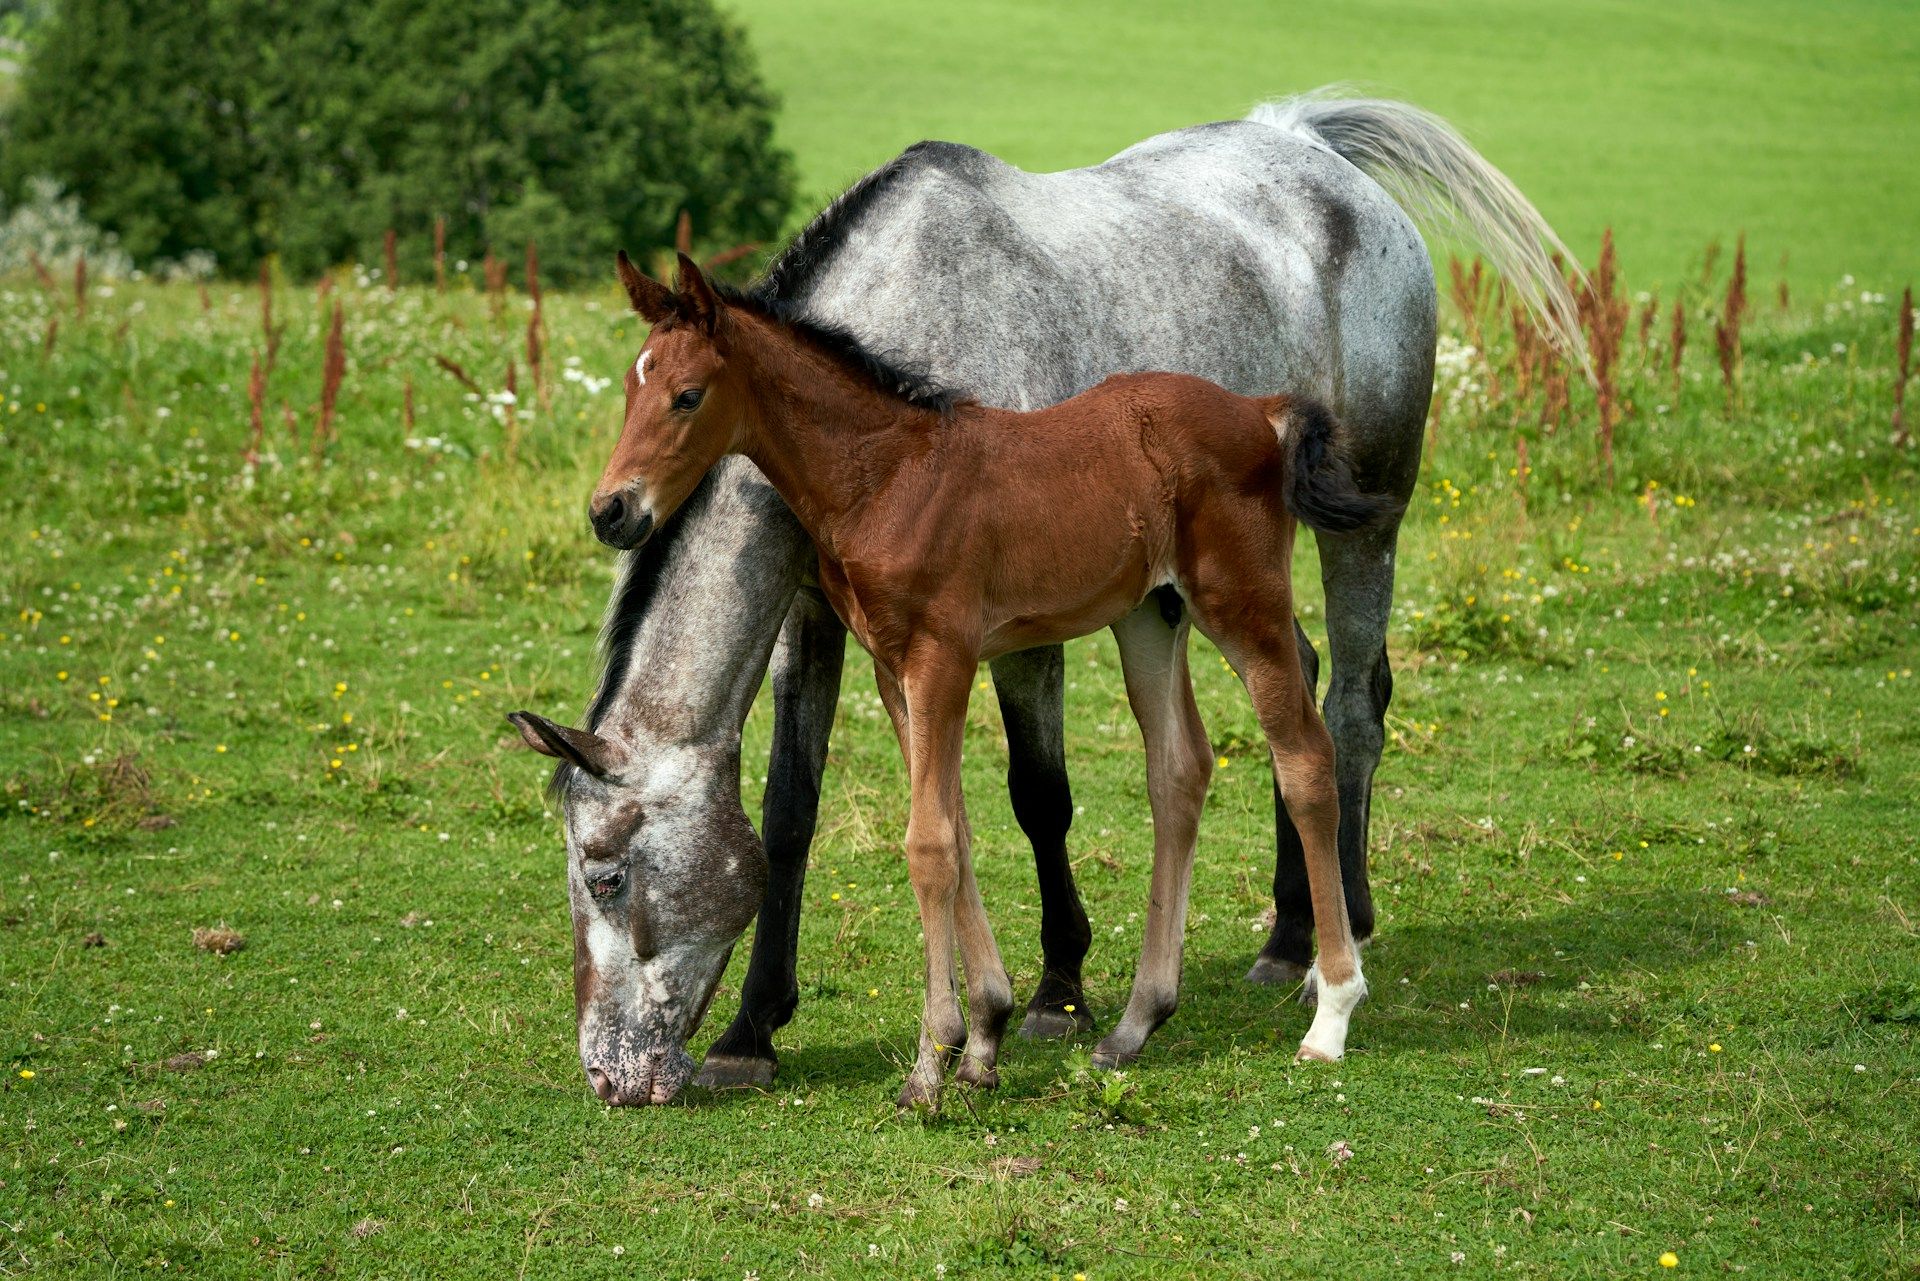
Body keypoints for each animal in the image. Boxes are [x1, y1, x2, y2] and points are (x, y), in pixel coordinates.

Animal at [513, 89, 1584, 1106]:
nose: (607, 1072)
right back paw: (1283, 938)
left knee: (1346, 710)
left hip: (1363, 521)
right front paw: (754, 1031)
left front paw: (1052, 995)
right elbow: (800, 813)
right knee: (1269, 714)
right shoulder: (827, 621)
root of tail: (1313, 147)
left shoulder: (1003, 634)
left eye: (605, 874)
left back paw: (1338, 939)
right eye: (626, 386)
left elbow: (1034, 797)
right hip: (1195, 593)